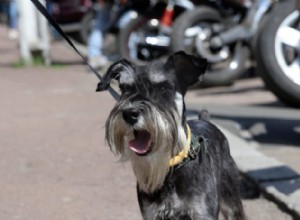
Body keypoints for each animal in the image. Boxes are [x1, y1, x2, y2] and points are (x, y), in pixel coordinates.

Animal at [97, 52, 245, 220]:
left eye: (162, 87)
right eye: (124, 88)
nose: (129, 113)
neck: (171, 169)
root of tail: (205, 119)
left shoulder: (202, 213)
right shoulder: (151, 214)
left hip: (231, 201)